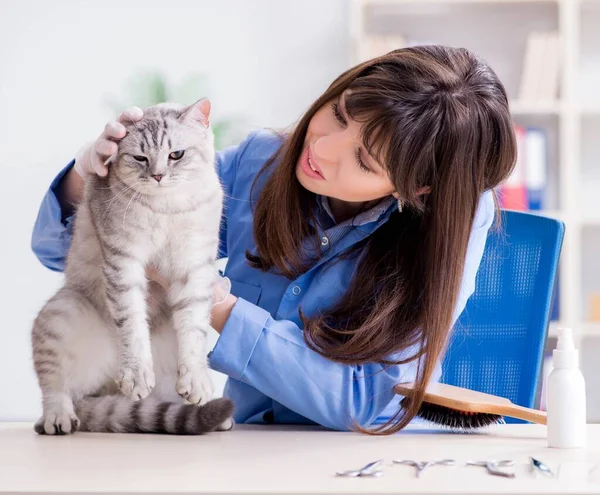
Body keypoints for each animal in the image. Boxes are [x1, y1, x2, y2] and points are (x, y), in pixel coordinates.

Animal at [31, 99, 234, 436]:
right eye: (140, 158)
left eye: (176, 154)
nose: (158, 175)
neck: (168, 207)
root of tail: (104, 390)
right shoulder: (123, 261)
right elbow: (131, 322)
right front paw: (136, 372)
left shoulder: (194, 266)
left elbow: (194, 328)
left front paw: (196, 378)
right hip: (62, 312)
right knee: (57, 388)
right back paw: (59, 417)